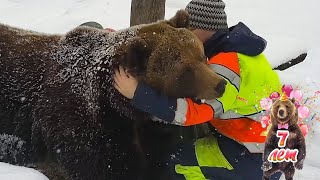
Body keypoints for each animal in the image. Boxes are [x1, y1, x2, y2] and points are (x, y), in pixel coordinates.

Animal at [0, 10, 225, 180]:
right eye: (186, 71)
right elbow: (102, 166)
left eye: (201, 55)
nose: (220, 85)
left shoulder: (146, 130)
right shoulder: (79, 123)